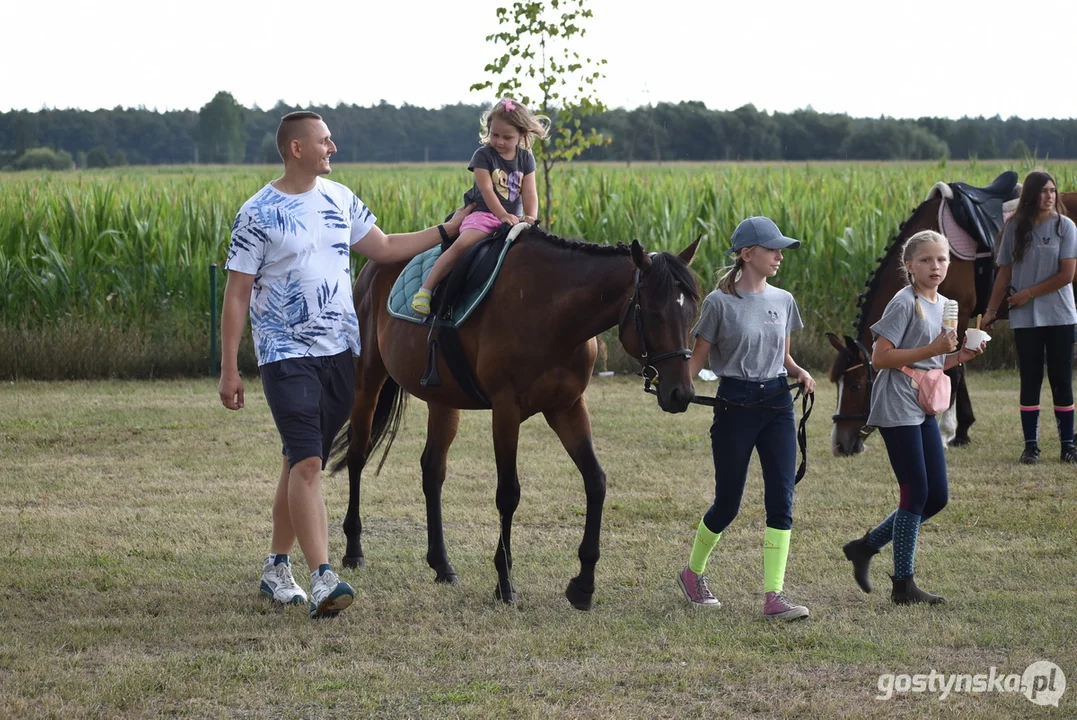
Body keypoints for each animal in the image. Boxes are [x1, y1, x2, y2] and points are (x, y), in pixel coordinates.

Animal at [331, 227, 702, 611]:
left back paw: (442, 564)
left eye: (693, 312)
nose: (681, 393)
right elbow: (508, 493)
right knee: (357, 457)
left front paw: (583, 585)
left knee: (432, 470)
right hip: (367, 380)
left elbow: (596, 482)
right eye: (655, 313)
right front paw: (505, 583)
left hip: (442, 400)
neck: (552, 312)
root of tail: (372, 266)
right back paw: (354, 550)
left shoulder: (568, 408)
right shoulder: (506, 410)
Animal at [827, 188, 1072, 452]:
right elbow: (957, 365)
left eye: (855, 385)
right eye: (837, 386)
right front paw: (963, 431)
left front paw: (946, 432)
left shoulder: (960, 313)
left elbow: (953, 372)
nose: (839, 444)